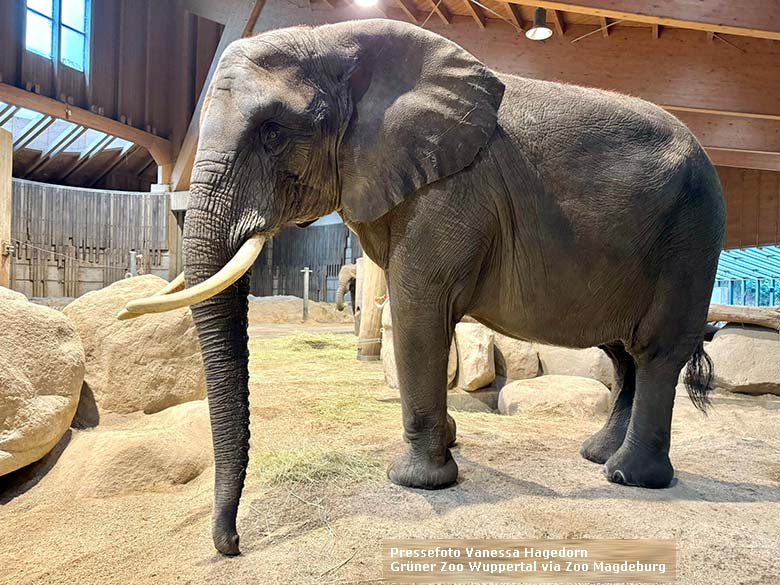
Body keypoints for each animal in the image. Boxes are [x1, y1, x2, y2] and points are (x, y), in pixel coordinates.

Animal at [120, 19, 724, 556]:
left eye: (272, 133)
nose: (233, 545)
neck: (337, 41)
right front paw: (450, 440)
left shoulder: (451, 192)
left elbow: (417, 310)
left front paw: (415, 480)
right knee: (623, 353)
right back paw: (598, 456)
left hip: (692, 237)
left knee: (656, 350)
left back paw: (628, 477)